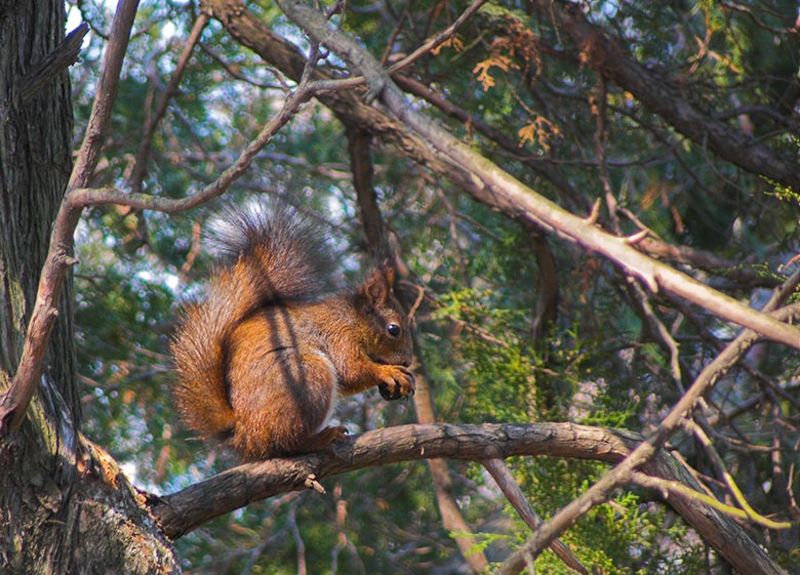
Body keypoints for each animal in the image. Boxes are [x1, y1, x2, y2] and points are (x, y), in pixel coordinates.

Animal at [171, 204, 415, 460]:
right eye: (394, 329)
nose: (407, 361)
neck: (353, 319)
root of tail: (244, 433)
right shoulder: (340, 336)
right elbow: (352, 369)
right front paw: (388, 372)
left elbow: (348, 381)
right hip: (310, 377)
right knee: (288, 442)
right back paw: (320, 438)